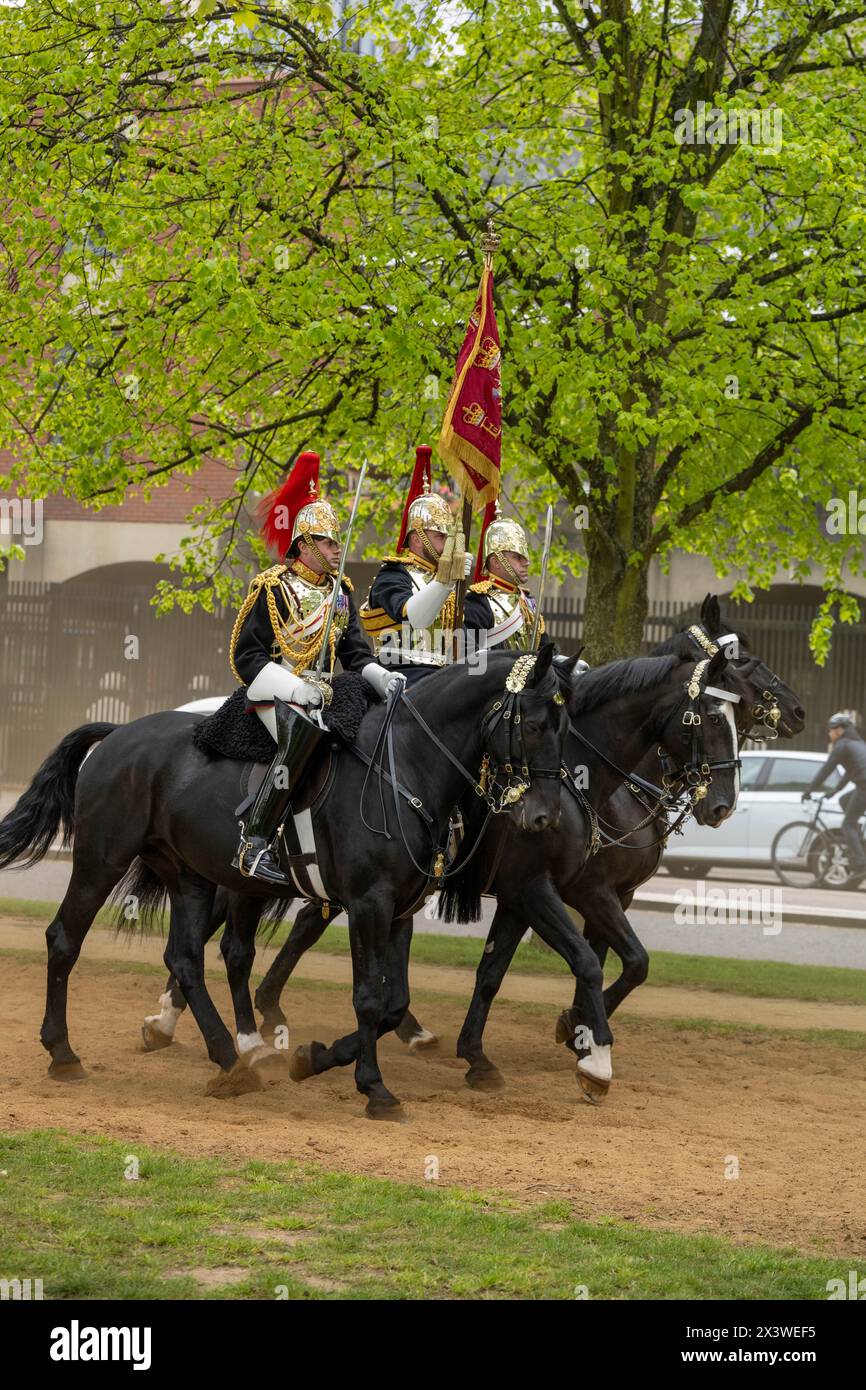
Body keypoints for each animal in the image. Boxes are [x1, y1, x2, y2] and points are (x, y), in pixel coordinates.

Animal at [0, 647, 575, 1117]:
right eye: (534, 724)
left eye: (566, 727)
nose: (545, 818)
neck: (404, 767)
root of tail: (118, 733)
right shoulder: (369, 903)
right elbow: (369, 1000)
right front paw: (374, 1088)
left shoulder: (399, 909)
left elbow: (393, 1004)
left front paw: (314, 1058)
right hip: (102, 860)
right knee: (65, 940)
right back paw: (64, 1053)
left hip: (191, 877)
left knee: (186, 958)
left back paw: (232, 1059)